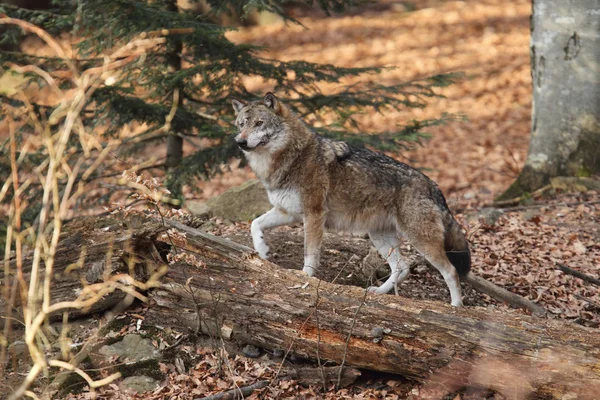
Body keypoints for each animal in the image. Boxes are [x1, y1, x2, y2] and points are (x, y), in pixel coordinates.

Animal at [232, 93, 472, 306]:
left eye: (259, 123)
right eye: (241, 124)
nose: (240, 142)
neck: (292, 157)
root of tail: (434, 186)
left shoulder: (314, 214)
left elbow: (310, 254)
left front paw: (305, 278)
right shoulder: (287, 212)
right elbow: (255, 224)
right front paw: (262, 250)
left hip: (419, 240)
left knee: (450, 271)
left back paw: (456, 307)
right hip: (379, 237)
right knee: (402, 267)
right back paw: (378, 292)